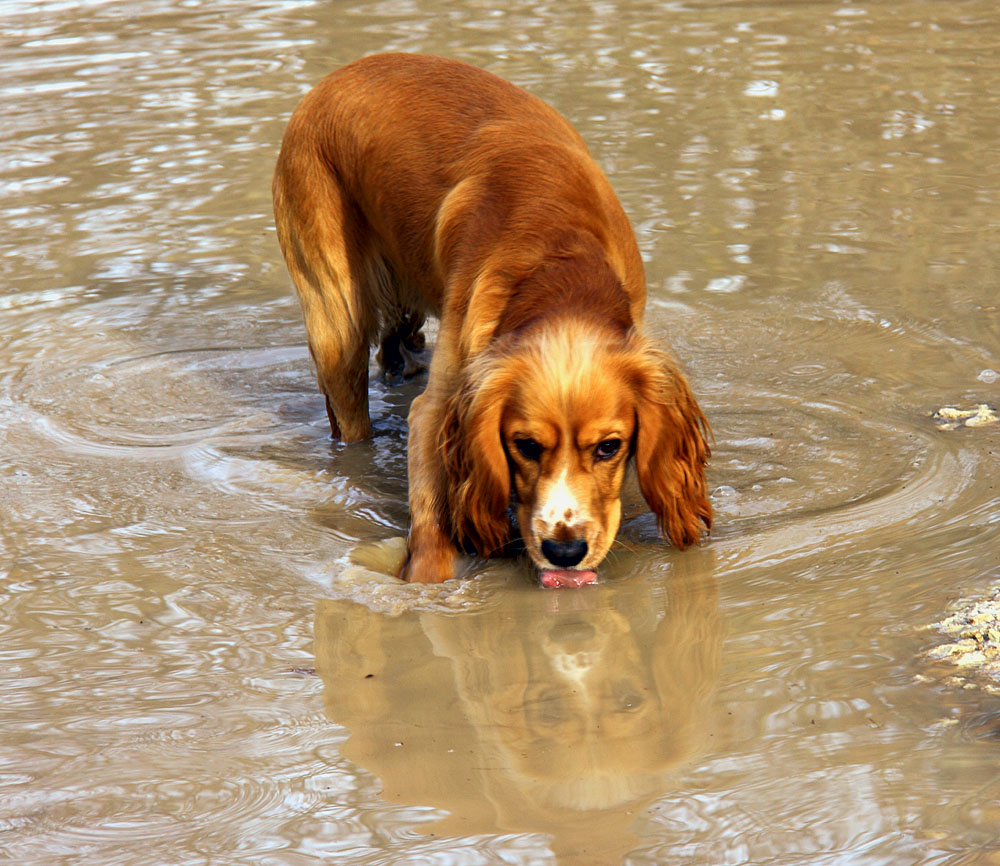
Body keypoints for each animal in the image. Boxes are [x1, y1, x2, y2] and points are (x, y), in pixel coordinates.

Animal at [274, 52, 712, 580]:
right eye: (525, 445)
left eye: (609, 447)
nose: (565, 551)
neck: (560, 261)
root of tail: (341, 72)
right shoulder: (441, 406)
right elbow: (431, 517)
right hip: (337, 326)